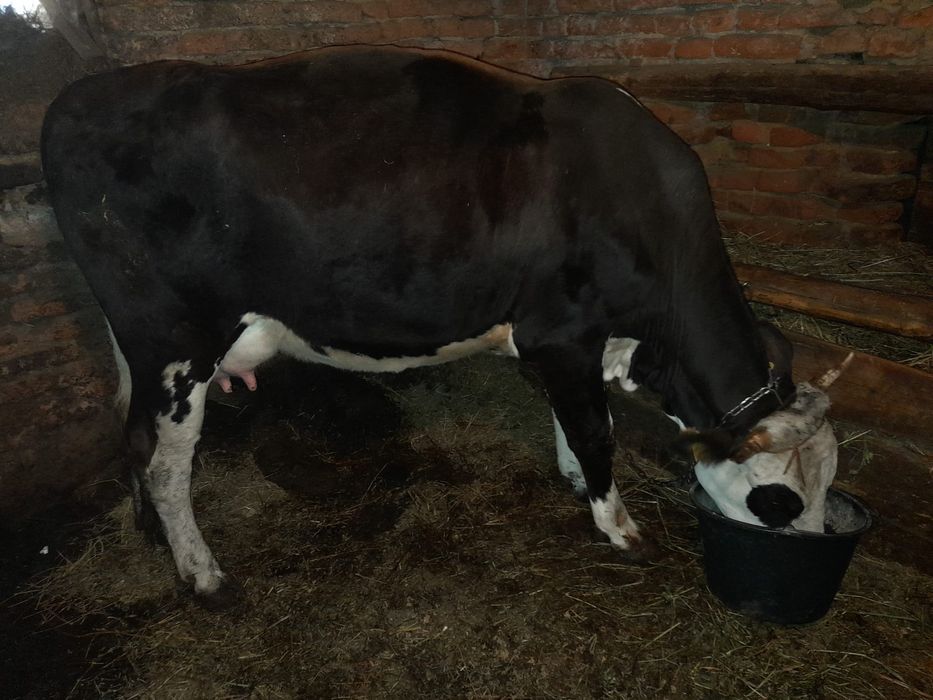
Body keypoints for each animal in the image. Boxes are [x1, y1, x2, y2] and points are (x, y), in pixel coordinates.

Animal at [41, 45, 840, 610]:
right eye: (781, 502)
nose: (811, 558)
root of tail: (78, 97)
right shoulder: (563, 333)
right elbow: (596, 431)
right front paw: (618, 527)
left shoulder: (563, 347)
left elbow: (573, 421)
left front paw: (577, 484)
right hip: (176, 339)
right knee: (167, 462)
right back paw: (203, 576)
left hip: (137, 343)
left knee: (130, 431)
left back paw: (151, 534)